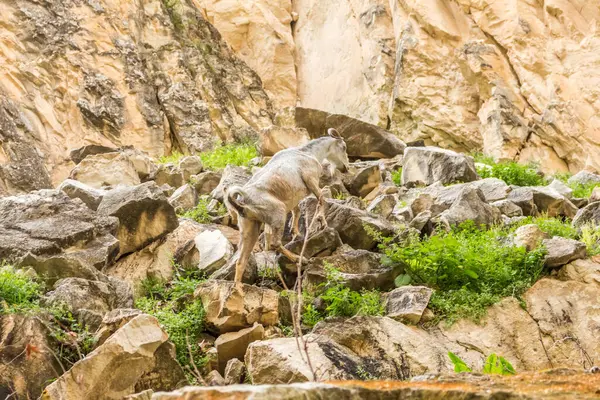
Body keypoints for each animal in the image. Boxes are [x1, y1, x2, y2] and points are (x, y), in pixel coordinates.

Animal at [225, 128, 350, 282]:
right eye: (343, 147)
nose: (346, 168)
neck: (309, 153)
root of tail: (243, 202)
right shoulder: (311, 180)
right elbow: (321, 199)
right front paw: (322, 222)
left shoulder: (294, 198)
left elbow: (297, 211)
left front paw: (295, 233)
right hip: (278, 213)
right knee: (274, 244)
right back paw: (299, 259)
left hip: (250, 227)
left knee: (241, 261)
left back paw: (239, 288)